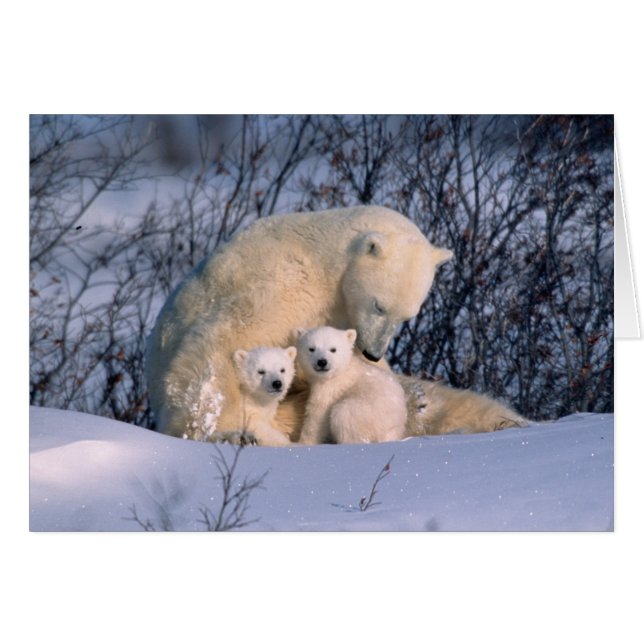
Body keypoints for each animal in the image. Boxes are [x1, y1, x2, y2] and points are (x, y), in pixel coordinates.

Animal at [145, 205, 527, 442]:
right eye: (379, 305)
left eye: (407, 316)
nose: (373, 353)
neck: (325, 263)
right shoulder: (287, 284)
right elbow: (228, 339)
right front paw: (224, 432)